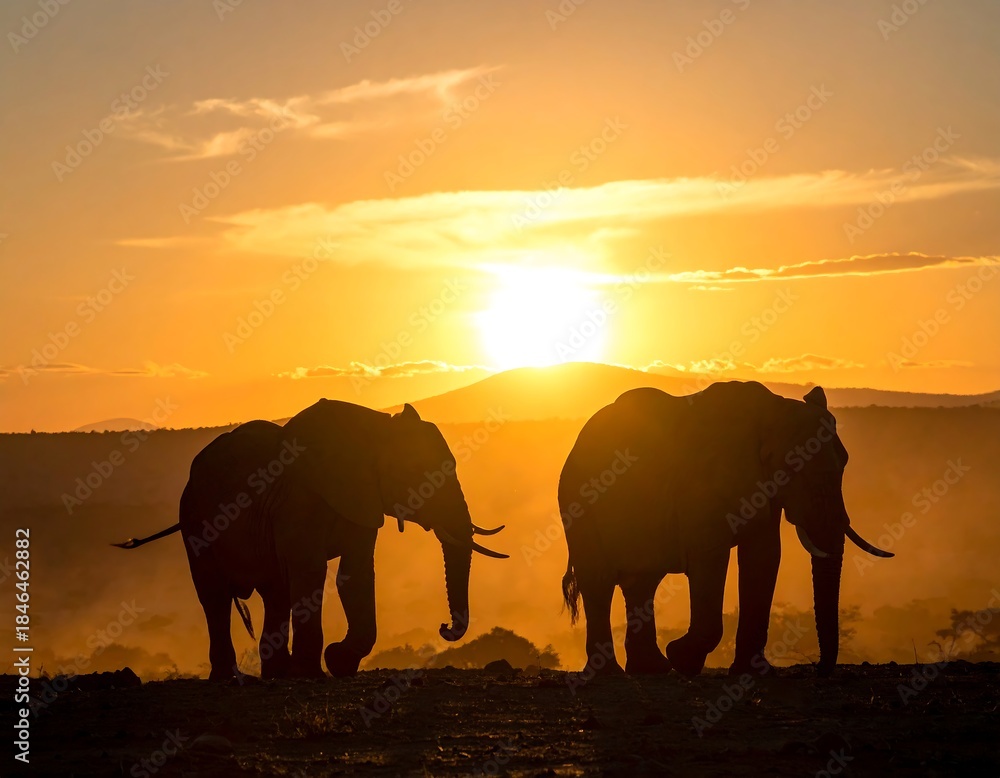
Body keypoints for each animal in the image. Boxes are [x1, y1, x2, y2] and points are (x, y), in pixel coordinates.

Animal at [114, 400, 507, 681]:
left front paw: (337, 663)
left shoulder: (361, 498)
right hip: (194, 519)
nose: (444, 628)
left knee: (274, 593)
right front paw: (316, 671)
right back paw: (231, 677)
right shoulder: (300, 498)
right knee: (214, 596)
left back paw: (276, 674)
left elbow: (355, 575)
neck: (374, 427)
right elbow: (311, 571)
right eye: (419, 473)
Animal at [558, 381, 892, 678]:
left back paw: (650, 670)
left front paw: (752, 672)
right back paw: (610, 673)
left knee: (642, 582)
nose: (818, 669)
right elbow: (710, 558)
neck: (773, 412)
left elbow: (764, 555)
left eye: (844, 465)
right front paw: (683, 659)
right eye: (796, 468)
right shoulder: (701, 485)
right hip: (578, 502)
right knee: (600, 581)